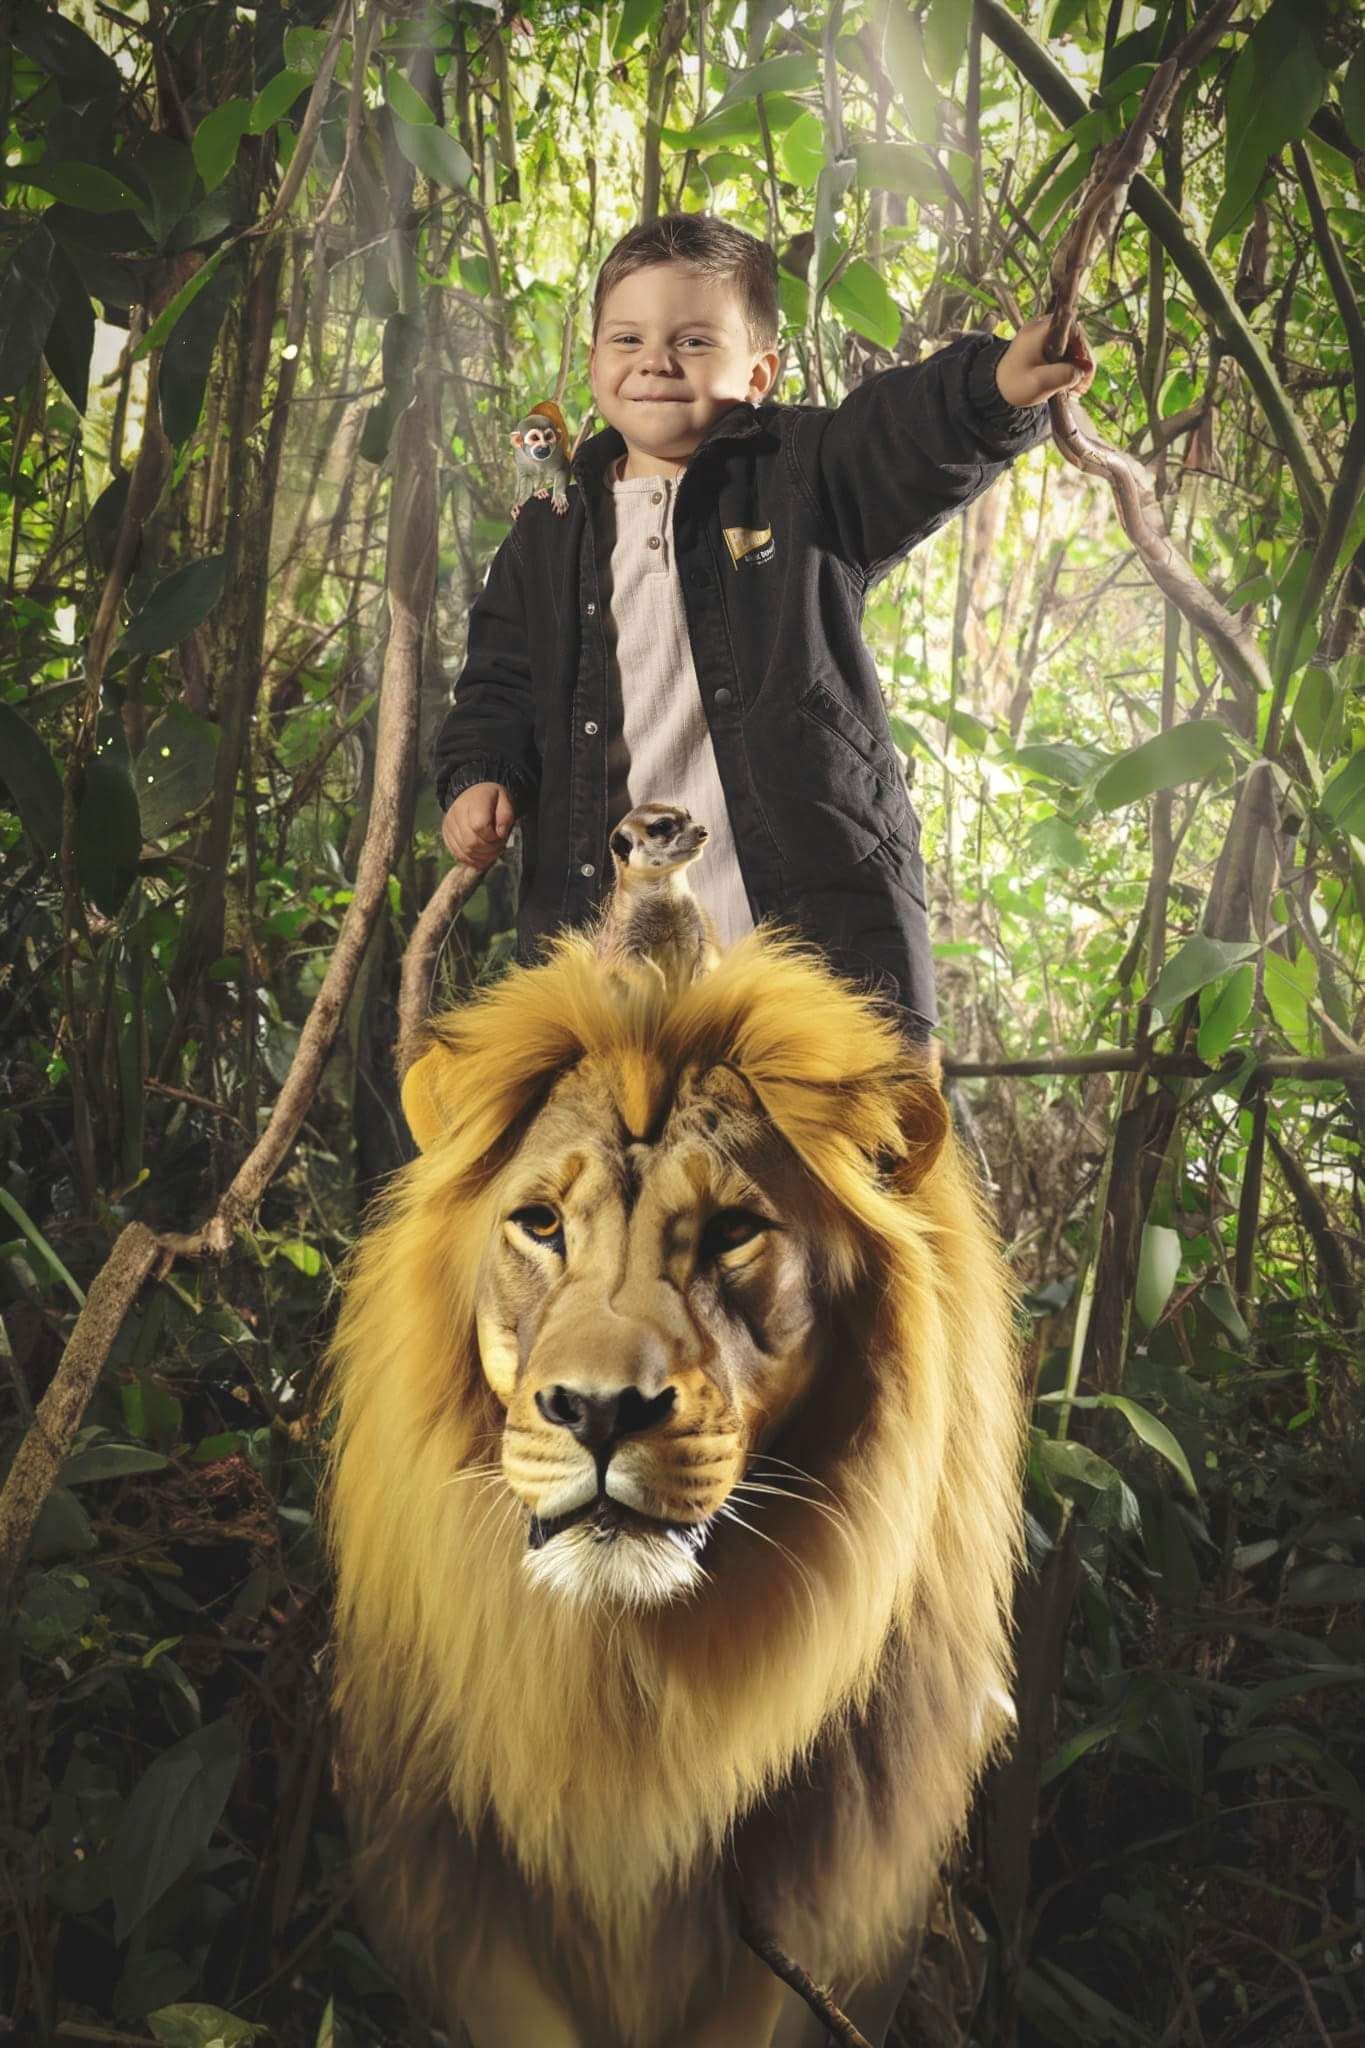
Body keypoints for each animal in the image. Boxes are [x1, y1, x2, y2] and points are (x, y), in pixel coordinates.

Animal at [323, 926, 1026, 2048]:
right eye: (540, 1223)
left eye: (734, 1230)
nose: (599, 1411)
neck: (629, 1682)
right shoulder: (458, 1907)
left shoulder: (817, 1923)